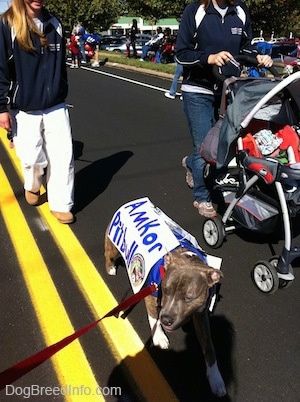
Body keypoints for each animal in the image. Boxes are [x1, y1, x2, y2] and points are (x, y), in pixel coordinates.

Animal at [104, 228, 226, 398]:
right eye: (166, 290)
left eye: (188, 298)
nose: (167, 319)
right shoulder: (151, 293)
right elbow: (153, 317)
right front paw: (159, 337)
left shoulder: (201, 314)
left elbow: (209, 347)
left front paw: (216, 378)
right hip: (113, 245)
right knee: (108, 252)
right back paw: (110, 267)